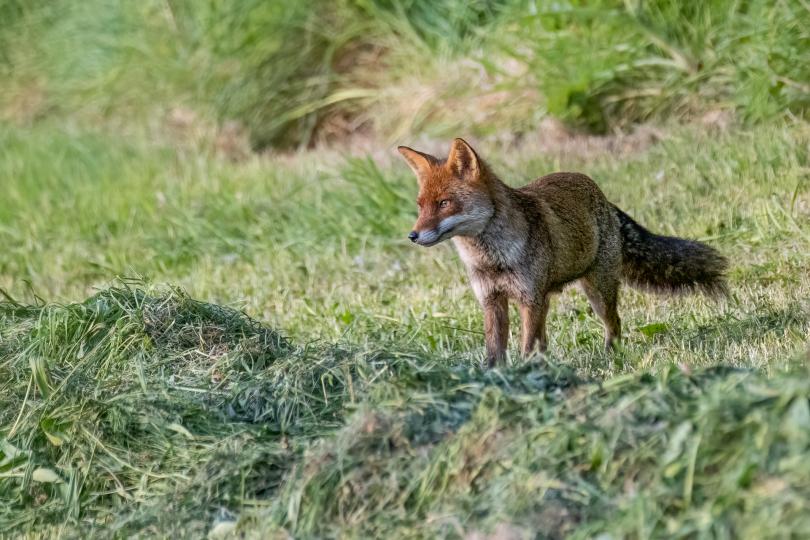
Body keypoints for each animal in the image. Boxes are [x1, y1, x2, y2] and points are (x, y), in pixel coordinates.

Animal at [398, 138, 728, 367]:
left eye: (444, 203)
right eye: (421, 206)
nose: (412, 235)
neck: (493, 259)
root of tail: (601, 195)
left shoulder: (529, 299)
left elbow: (526, 346)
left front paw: (523, 372)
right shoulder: (493, 301)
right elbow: (495, 350)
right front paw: (495, 377)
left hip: (597, 293)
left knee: (615, 324)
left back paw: (610, 356)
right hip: (551, 299)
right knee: (547, 339)